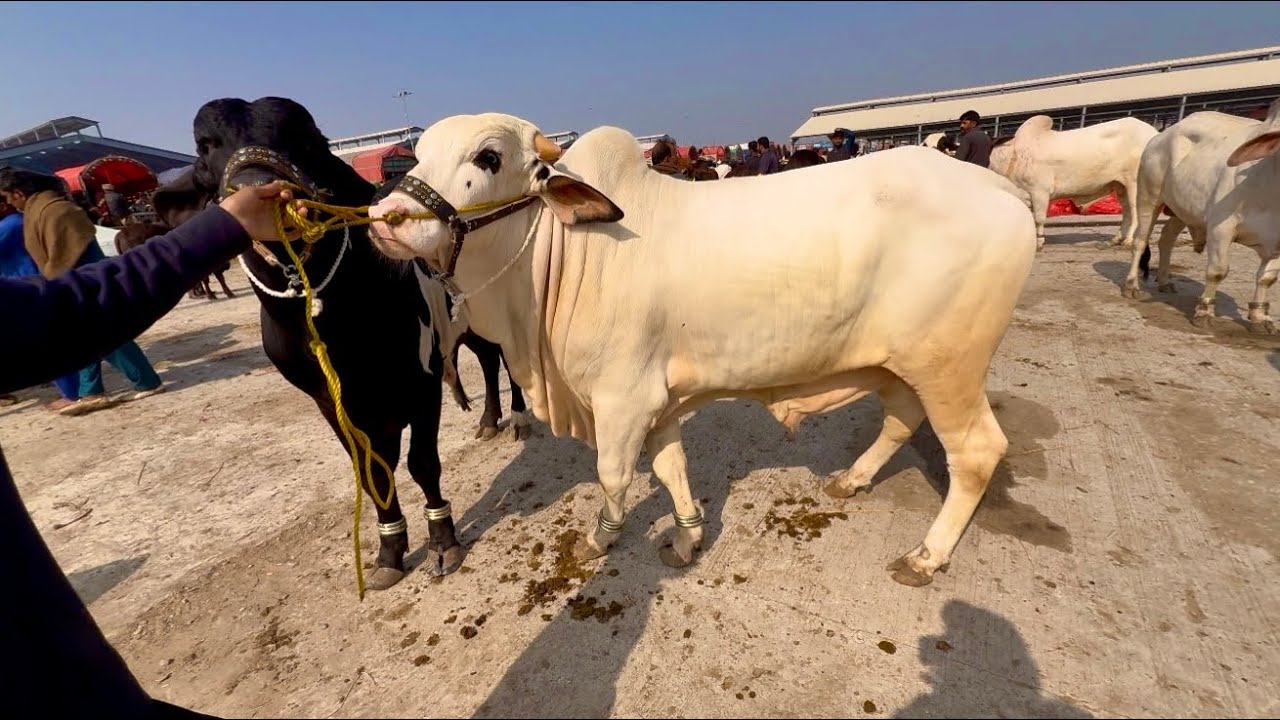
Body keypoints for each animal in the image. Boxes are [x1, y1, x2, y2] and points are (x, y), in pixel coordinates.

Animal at [364, 114, 1038, 588]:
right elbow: (671, 469)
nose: (384, 214)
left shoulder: (621, 401)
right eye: (416, 156)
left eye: (488, 156)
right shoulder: (657, 401)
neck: (562, 255)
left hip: (950, 366)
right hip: (903, 364)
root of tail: (999, 187)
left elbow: (613, 476)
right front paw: (688, 539)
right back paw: (853, 480)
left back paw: (926, 555)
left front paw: (600, 539)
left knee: (977, 452)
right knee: (902, 418)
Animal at [988, 115, 1158, 251]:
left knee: (1136, 212)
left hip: (1134, 184)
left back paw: (1129, 240)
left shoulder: (1039, 191)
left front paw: (1039, 243)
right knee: (1127, 212)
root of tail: (1155, 133)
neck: (1012, 155)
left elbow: (1039, 219)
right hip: (1120, 186)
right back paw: (1116, 239)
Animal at [1122, 99, 1280, 334]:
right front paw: (1204, 312)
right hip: (1148, 195)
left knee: (1166, 237)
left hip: (1182, 207)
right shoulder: (1221, 227)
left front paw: (1260, 318)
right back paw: (1132, 285)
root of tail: (1162, 135)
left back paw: (1164, 281)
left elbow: (1267, 278)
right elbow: (1218, 271)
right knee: (1140, 241)